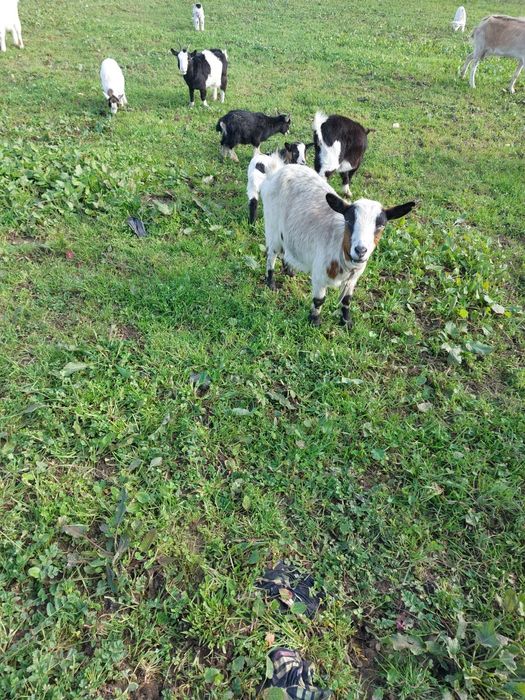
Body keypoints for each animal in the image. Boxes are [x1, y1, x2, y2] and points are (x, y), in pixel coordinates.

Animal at [260, 164, 415, 326]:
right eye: (349, 220)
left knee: (285, 250)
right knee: (272, 254)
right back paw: (271, 282)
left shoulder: (352, 279)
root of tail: (280, 170)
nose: (360, 250)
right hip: (272, 226)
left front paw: (346, 322)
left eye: (381, 225)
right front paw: (315, 321)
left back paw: (289, 271)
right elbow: (319, 300)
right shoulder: (319, 275)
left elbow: (346, 300)